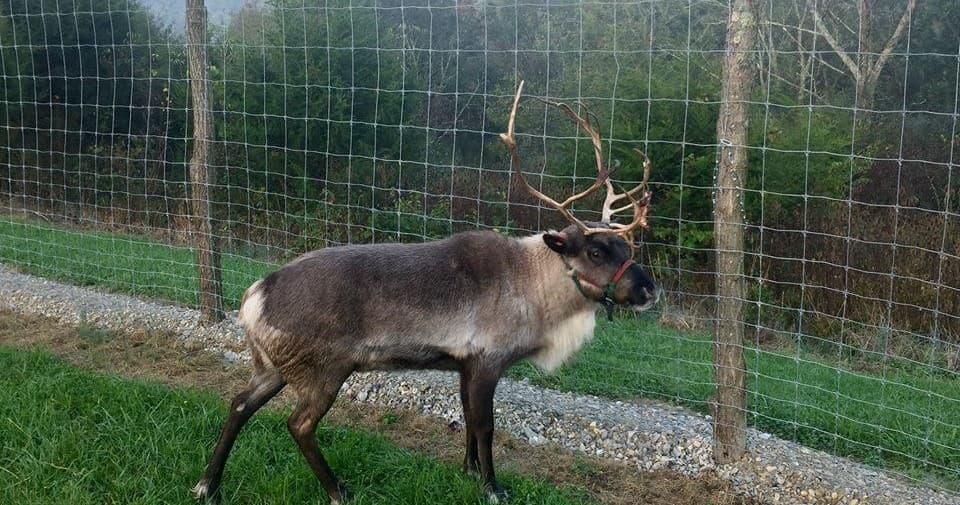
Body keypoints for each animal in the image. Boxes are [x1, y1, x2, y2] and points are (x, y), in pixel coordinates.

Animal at [192, 81, 660, 504]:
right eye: (596, 249)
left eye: (627, 246)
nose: (649, 289)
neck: (536, 290)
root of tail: (254, 296)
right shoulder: (488, 360)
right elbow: (486, 425)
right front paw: (493, 487)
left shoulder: (463, 363)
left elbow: (467, 418)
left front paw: (468, 470)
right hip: (324, 368)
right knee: (298, 424)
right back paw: (337, 489)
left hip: (271, 364)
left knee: (239, 403)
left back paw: (207, 485)